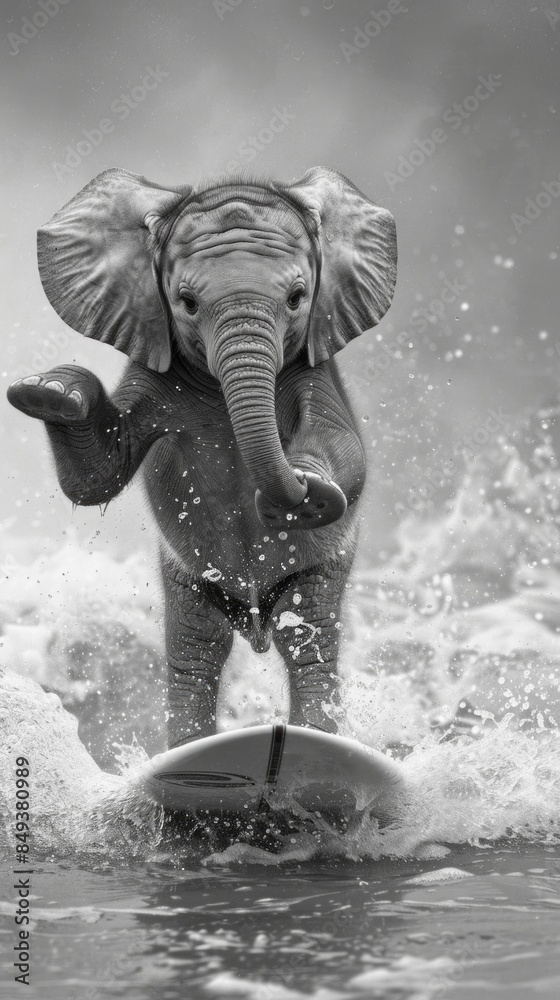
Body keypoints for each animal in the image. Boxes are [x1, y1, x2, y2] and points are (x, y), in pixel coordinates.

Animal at [8, 166, 397, 747]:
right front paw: (51, 391)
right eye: (186, 302)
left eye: (298, 298)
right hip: (186, 580)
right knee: (196, 652)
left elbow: (344, 448)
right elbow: (101, 471)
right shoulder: (155, 365)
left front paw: (310, 490)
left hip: (325, 570)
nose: (291, 492)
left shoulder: (311, 368)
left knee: (308, 645)